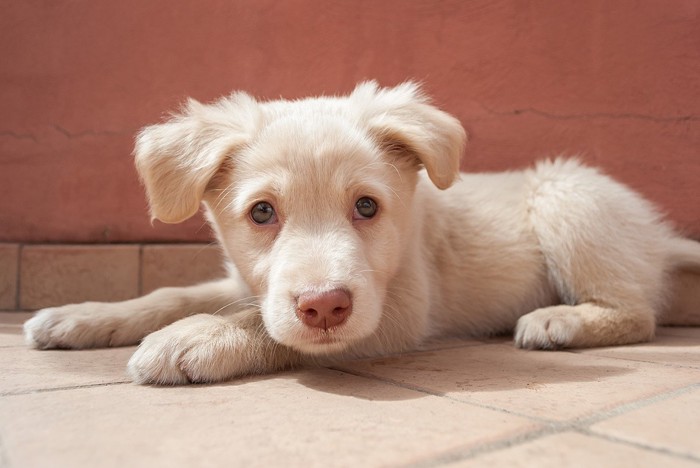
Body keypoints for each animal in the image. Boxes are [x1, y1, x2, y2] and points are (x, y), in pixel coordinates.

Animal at [21, 82, 700, 386]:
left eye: (367, 207)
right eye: (261, 213)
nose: (325, 307)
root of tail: (656, 235)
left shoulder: (398, 310)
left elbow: (267, 328)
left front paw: (196, 339)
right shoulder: (245, 281)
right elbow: (174, 295)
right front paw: (83, 316)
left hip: (567, 196)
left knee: (638, 313)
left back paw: (560, 319)